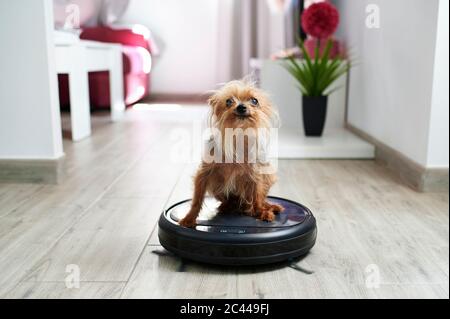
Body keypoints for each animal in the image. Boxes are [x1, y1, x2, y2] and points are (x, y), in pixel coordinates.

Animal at [178, 81, 282, 229]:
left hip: (268, 177)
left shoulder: (256, 175)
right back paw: (227, 207)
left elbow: (257, 196)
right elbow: (197, 199)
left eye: (254, 101)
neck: (237, 136)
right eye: (228, 101)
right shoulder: (204, 173)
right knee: (231, 202)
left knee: (258, 200)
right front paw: (189, 218)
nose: (241, 106)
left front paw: (262, 212)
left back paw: (266, 208)